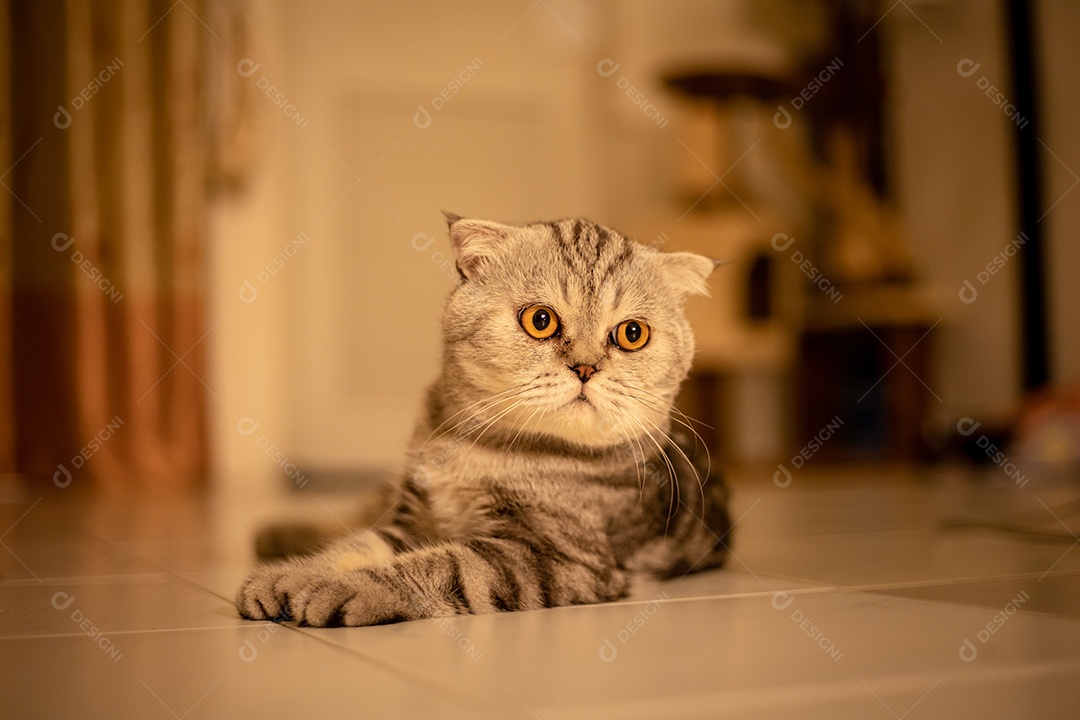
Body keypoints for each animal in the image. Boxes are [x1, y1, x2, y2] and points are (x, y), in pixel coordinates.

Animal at [232, 213, 730, 626]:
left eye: (632, 333)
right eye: (541, 320)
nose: (586, 367)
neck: (478, 449)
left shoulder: (551, 559)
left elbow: (436, 564)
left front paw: (335, 588)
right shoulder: (412, 519)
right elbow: (355, 545)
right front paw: (289, 576)